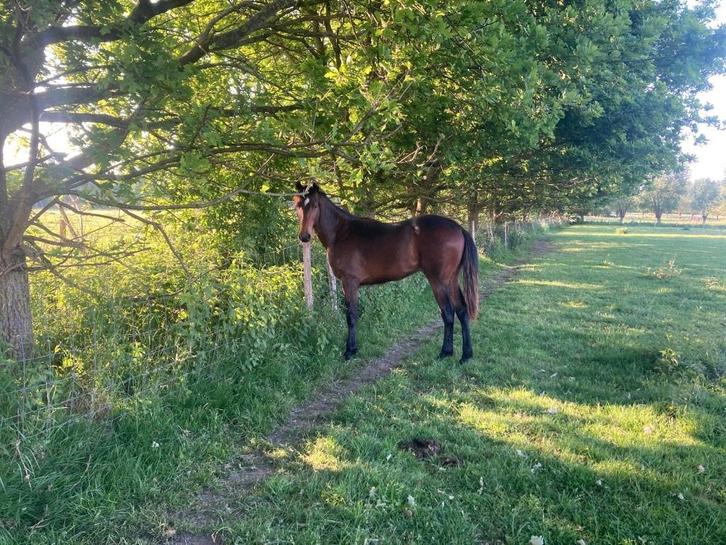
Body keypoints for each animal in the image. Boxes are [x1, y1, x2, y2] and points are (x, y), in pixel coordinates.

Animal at [293, 183, 479, 363]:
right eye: (298, 205)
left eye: (315, 205)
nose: (304, 236)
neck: (341, 233)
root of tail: (458, 228)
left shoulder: (349, 282)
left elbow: (351, 316)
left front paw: (350, 351)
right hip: (451, 280)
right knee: (461, 311)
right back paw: (466, 355)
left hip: (438, 281)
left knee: (448, 312)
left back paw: (445, 353)